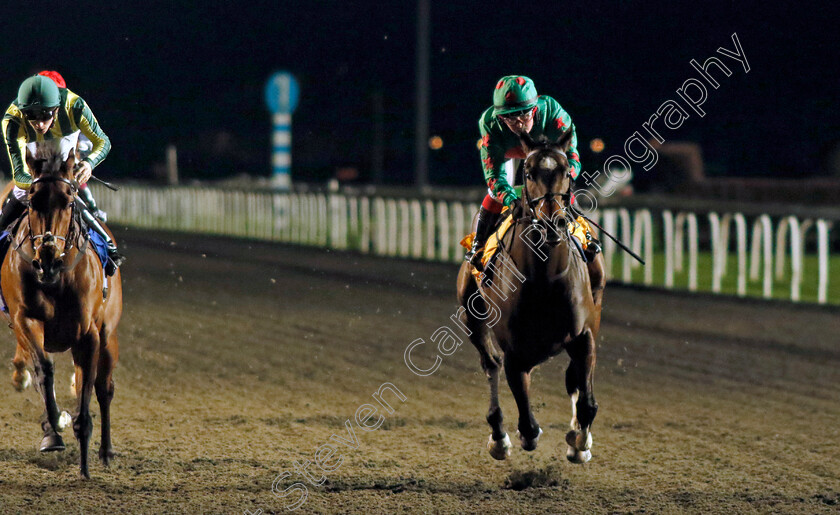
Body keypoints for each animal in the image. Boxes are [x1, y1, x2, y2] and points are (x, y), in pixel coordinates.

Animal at [0, 146, 122, 480]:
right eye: (32, 200)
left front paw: (85, 467)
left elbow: (89, 391)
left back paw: (106, 452)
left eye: (69, 201)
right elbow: (44, 371)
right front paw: (54, 429)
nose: (48, 260)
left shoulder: (89, 334)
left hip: (109, 335)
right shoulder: (25, 320)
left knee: (104, 388)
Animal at [456, 128, 600, 464]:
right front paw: (518, 436)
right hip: (471, 317)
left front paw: (579, 442)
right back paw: (498, 436)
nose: (552, 221)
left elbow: (587, 403)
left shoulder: (585, 335)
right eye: (530, 172)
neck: (544, 278)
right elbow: (528, 425)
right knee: (490, 364)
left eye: (566, 171)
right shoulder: (515, 352)